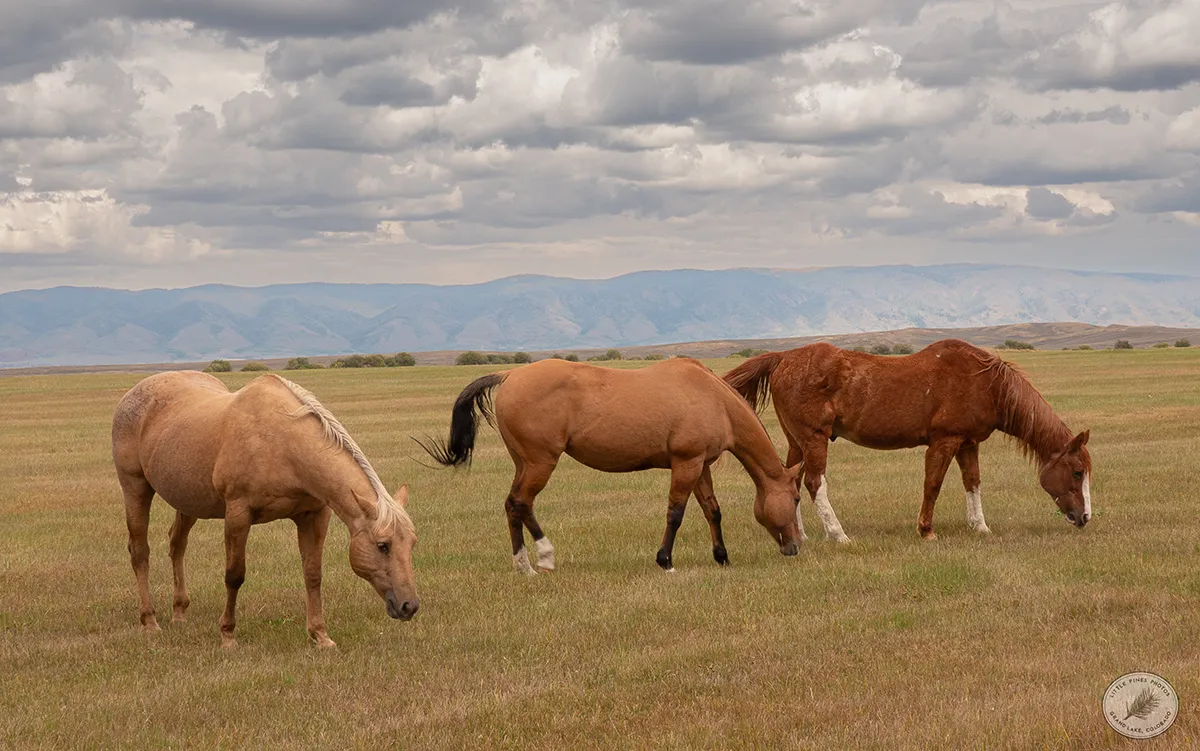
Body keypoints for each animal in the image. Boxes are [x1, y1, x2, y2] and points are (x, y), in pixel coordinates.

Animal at [111, 371, 419, 648]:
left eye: (412, 543)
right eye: (382, 545)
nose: (409, 606)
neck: (282, 443)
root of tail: (133, 393)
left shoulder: (314, 516)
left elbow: (313, 574)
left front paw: (321, 636)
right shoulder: (238, 515)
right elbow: (234, 575)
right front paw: (227, 635)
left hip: (187, 501)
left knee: (177, 545)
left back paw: (179, 613)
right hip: (135, 488)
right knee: (140, 552)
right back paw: (150, 621)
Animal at [416, 357, 803, 573]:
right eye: (797, 499)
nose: (795, 547)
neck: (713, 397)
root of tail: (512, 375)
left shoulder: (700, 466)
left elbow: (712, 510)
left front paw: (722, 557)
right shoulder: (686, 464)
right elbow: (675, 514)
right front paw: (665, 560)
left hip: (524, 463)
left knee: (513, 506)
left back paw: (523, 565)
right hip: (541, 463)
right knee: (521, 503)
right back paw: (544, 556)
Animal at [723, 339, 1093, 541]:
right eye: (1077, 472)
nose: (1085, 517)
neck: (984, 382)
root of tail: (783, 358)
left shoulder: (968, 444)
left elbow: (973, 483)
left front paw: (980, 527)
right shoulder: (945, 442)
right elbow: (933, 484)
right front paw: (926, 530)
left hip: (796, 442)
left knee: (792, 480)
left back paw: (801, 534)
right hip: (814, 439)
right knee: (815, 483)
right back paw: (838, 535)